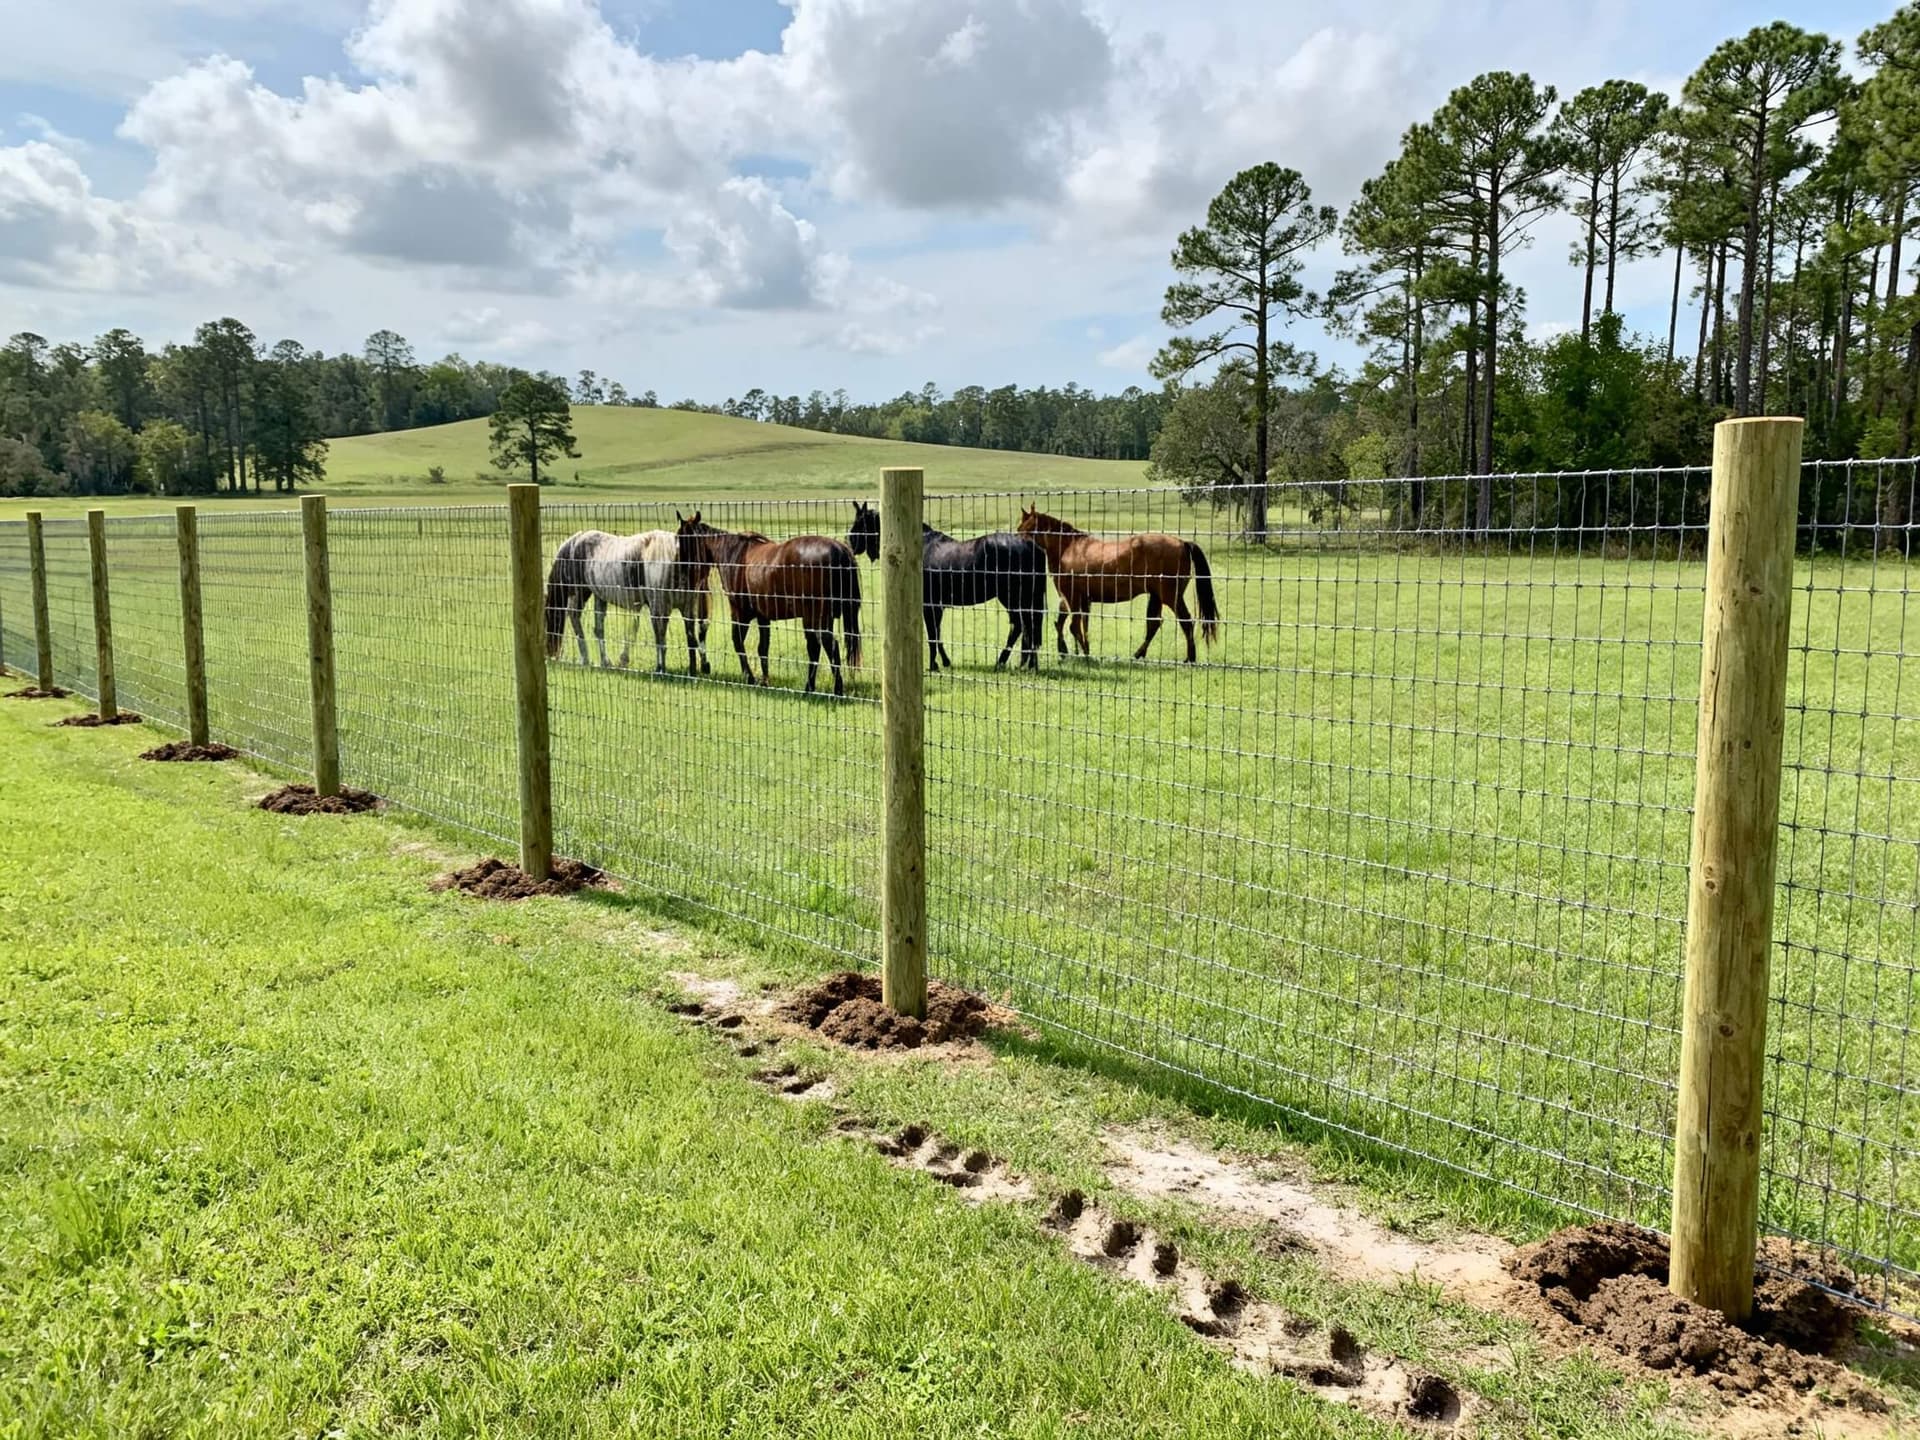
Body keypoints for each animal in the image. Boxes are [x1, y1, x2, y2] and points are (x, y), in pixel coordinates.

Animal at [543, 529, 712, 674]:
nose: (551, 654)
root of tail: (575, 539)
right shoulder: (660, 608)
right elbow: (661, 638)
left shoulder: (683, 609)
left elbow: (687, 639)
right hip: (583, 592)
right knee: (577, 617)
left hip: (592, 594)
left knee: (590, 623)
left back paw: (600, 661)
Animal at [674, 511, 863, 695]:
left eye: (682, 541)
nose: (682, 575)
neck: (734, 554)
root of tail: (841, 550)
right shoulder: (763, 617)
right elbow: (763, 648)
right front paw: (765, 681)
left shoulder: (740, 613)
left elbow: (738, 643)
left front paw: (750, 678)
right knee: (818, 647)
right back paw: (813, 688)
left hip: (815, 617)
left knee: (825, 646)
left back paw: (830, 689)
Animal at [845, 502, 1047, 672]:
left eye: (859, 523)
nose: (850, 544)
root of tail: (1031, 546)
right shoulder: (937, 606)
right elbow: (937, 634)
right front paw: (944, 661)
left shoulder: (929, 606)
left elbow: (932, 635)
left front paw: (933, 665)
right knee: (1025, 627)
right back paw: (1026, 664)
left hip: (1013, 597)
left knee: (1022, 625)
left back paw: (1008, 663)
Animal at [1015, 505, 1220, 663]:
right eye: (1019, 529)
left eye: (1031, 529)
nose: (1017, 545)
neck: (1068, 548)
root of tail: (1183, 543)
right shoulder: (1078, 599)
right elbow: (1070, 624)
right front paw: (1069, 651)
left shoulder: (1071, 595)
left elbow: (1073, 626)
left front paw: (1083, 654)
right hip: (1156, 596)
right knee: (1154, 624)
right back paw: (1138, 654)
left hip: (1171, 596)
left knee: (1185, 621)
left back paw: (1189, 658)